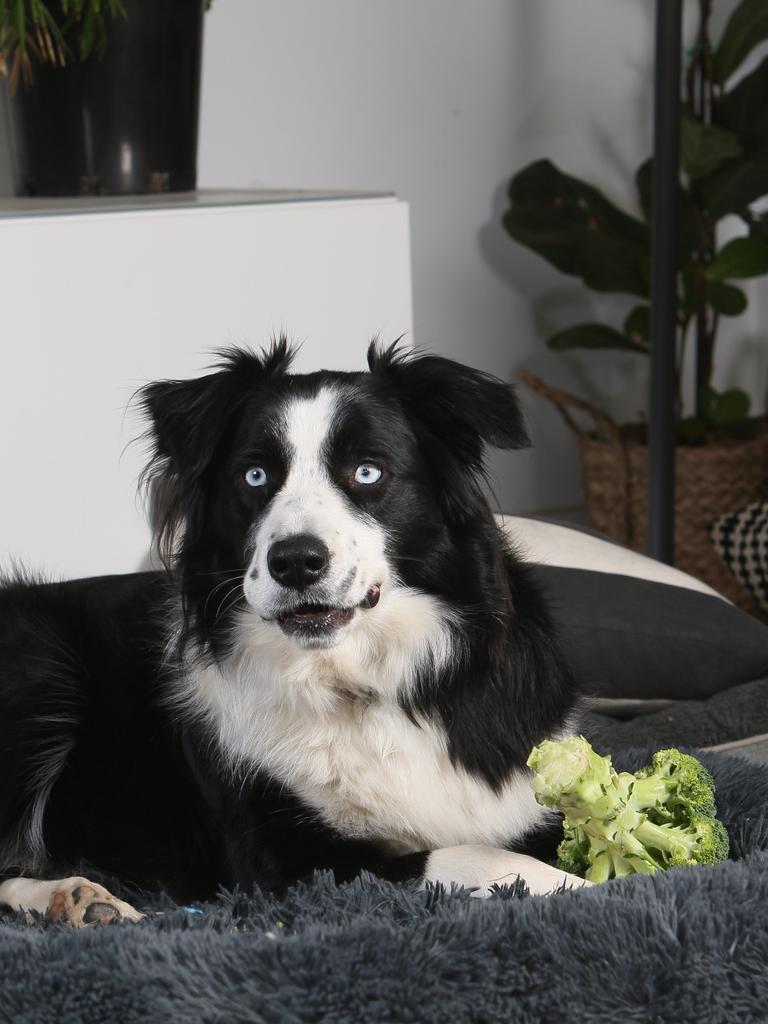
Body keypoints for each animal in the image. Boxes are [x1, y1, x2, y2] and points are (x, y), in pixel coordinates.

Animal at [0, 344, 589, 929]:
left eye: (368, 471)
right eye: (255, 476)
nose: (296, 562)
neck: (356, 680)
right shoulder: (291, 865)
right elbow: (479, 856)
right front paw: (581, 890)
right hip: (41, 665)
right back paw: (76, 898)